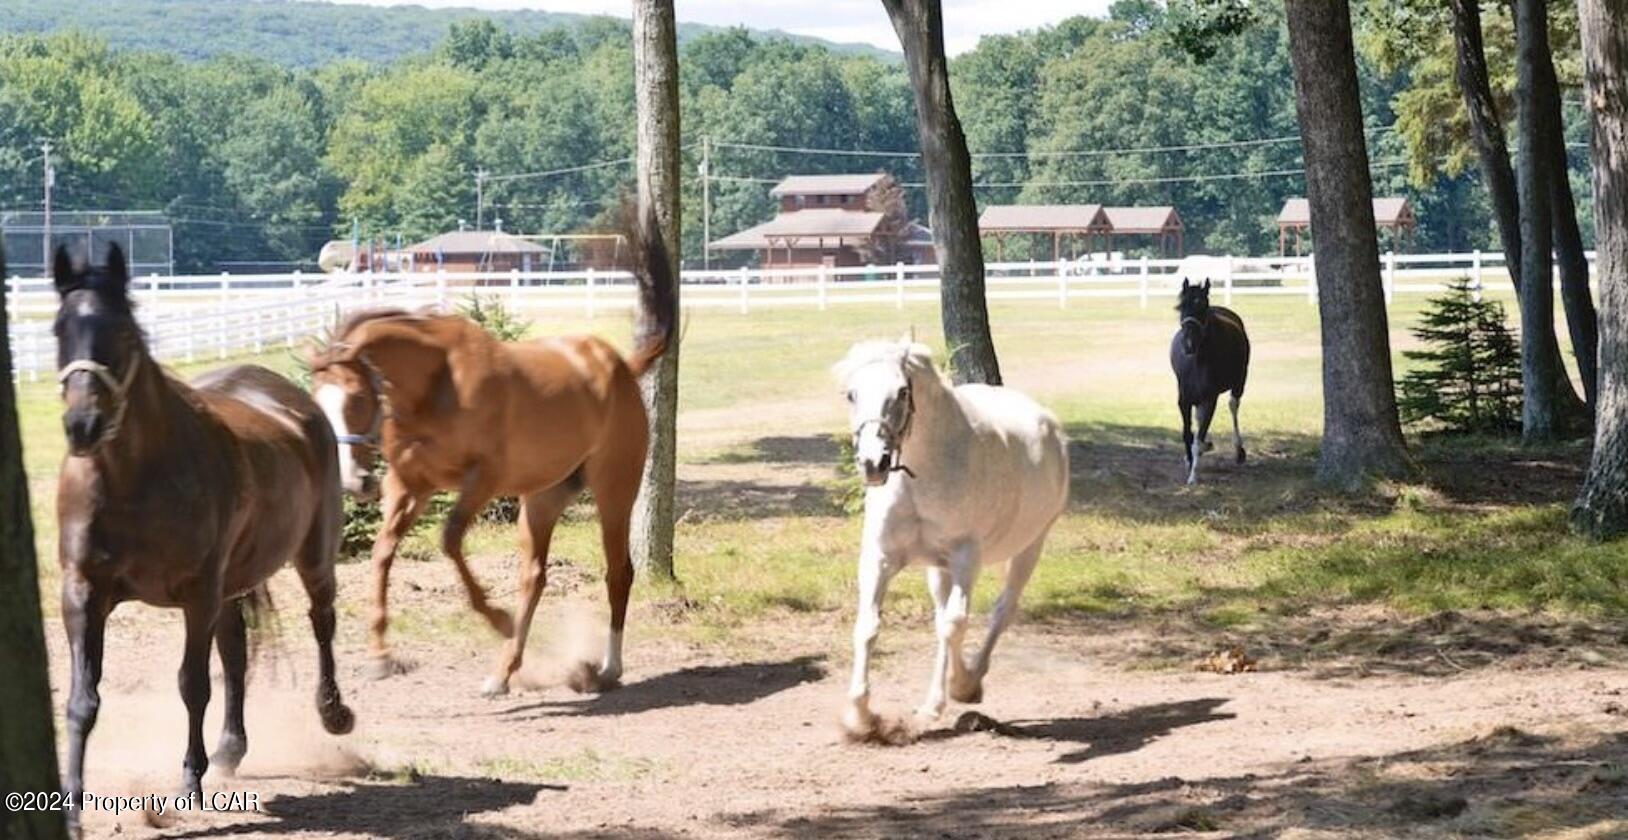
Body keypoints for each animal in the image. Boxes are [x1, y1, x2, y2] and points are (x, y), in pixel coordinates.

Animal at [52, 244, 351, 833]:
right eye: (58, 330)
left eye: (124, 334)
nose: (83, 425)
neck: (135, 479)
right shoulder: (83, 594)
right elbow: (82, 700)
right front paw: (71, 804)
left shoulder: (197, 594)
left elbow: (193, 684)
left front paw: (189, 782)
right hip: (232, 585)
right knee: (236, 652)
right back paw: (231, 748)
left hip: (311, 557)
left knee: (321, 622)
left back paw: (332, 713)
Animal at [306, 210, 673, 696]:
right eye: (318, 402)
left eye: (355, 399)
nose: (354, 481)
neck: (435, 385)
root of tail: (622, 368)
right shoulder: (411, 485)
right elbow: (383, 552)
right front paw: (381, 655)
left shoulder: (482, 480)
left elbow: (449, 540)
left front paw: (495, 617)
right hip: (543, 498)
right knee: (534, 576)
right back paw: (504, 672)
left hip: (614, 489)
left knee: (618, 570)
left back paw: (607, 668)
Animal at [833, 338, 1074, 739]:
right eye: (851, 394)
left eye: (901, 392)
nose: (872, 464)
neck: (921, 476)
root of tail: (1049, 425)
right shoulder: (880, 558)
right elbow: (868, 628)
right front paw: (860, 719)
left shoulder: (966, 557)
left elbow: (955, 624)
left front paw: (957, 691)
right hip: (938, 568)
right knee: (944, 618)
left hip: (1029, 547)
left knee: (1000, 610)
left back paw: (967, 685)